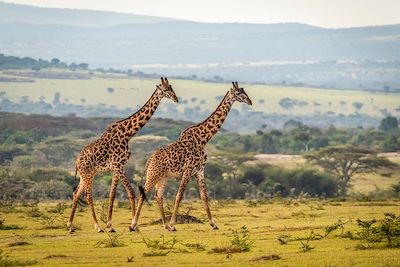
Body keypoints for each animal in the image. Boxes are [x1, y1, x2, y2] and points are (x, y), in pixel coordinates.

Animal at [67, 78, 178, 233]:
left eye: (171, 87)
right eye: (166, 90)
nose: (176, 99)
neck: (128, 133)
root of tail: (77, 162)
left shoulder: (117, 167)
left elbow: (112, 194)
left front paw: (111, 225)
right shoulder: (117, 165)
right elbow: (131, 192)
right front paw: (133, 224)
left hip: (87, 174)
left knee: (77, 193)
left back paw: (70, 225)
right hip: (88, 174)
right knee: (88, 196)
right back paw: (97, 227)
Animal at [130, 82, 250, 232]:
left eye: (244, 91)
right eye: (239, 93)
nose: (250, 101)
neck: (203, 139)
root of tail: (149, 160)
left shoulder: (199, 171)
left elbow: (204, 196)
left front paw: (213, 224)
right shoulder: (187, 170)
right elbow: (179, 195)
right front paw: (173, 224)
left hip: (162, 177)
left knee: (158, 196)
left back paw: (164, 225)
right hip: (153, 175)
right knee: (143, 194)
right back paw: (133, 225)